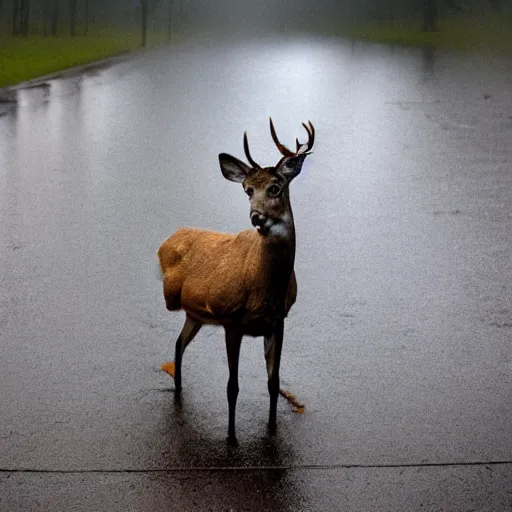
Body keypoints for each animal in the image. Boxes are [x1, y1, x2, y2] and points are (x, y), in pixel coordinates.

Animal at [158, 117, 314, 444]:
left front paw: (272, 426)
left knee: (178, 344)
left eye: (275, 187)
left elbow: (273, 382)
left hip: (195, 315)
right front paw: (231, 438)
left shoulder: (278, 320)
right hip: (200, 312)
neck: (266, 289)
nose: (256, 217)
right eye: (246, 189)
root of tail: (170, 238)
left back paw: (178, 387)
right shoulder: (231, 320)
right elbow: (232, 386)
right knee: (180, 345)